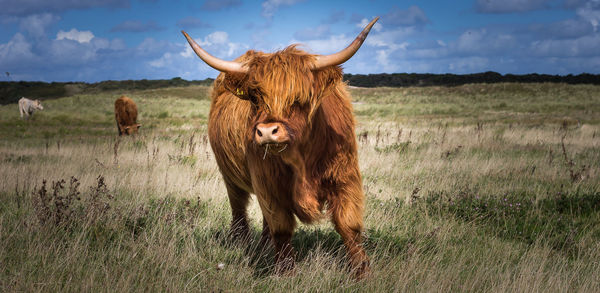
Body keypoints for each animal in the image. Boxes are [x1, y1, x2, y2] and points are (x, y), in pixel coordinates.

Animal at [183, 17, 380, 278]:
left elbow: (349, 225)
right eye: (255, 98)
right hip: (230, 176)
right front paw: (285, 272)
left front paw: (362, 272)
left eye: (299, 98)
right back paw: (240, 241)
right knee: (239, 208)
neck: (303, 159)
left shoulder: (345, 178)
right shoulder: (268, 185)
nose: (267, 131)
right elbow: (282, 228)